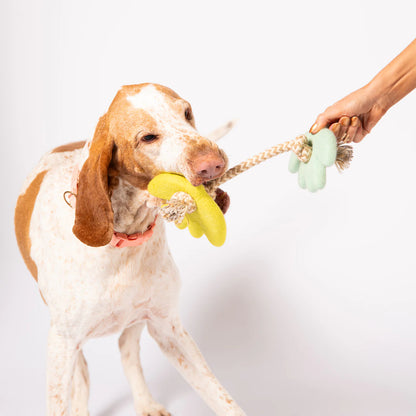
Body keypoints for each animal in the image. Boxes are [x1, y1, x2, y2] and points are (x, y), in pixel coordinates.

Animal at [14, 83, 245, 416]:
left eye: (186, 112)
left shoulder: (168, 327)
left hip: (136, 318)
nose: (213, 163)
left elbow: (220, 396)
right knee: (84, 376)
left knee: (127, 351)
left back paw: (145, 402)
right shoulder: (62, 343)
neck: (124, 240)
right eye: (147, 137)